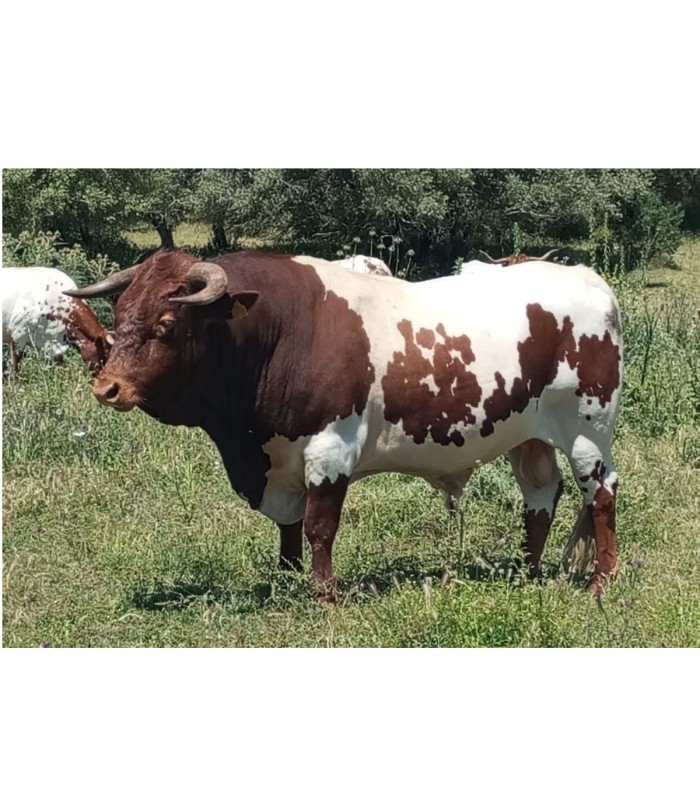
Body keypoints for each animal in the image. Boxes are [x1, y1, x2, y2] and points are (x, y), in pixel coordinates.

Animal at [66, 248, 623, 599]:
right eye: (120, 310)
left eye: (166, 324)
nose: (107, 387)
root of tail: (587, 278)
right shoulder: (281, 459)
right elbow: (289, 527)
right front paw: (287, 581)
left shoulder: (330, 449)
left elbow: (319, 527)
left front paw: (324, 594)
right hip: (528, 436)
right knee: (540, 497)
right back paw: (526, 575)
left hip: (587, 433)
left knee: (601, 496)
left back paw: (602, 584)